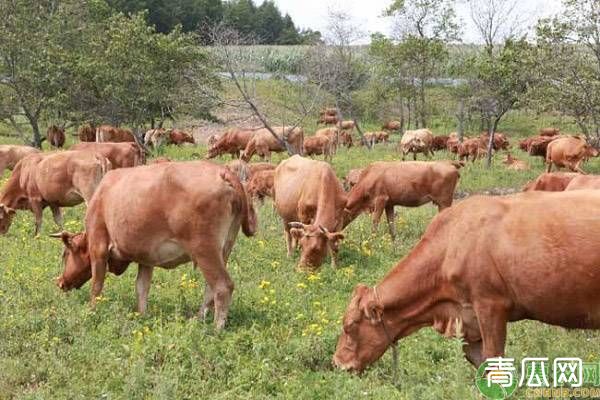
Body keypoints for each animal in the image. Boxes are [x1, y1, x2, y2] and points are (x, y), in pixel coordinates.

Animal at [51, 161, 255, 330]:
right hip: (223, 250)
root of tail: (222, 171)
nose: (60, 282)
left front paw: (92, 311)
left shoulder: (98, 247)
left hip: (205, 251)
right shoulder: (146, 259)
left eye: (65, 254)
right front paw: (142, 315)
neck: (103, 194)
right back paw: (198, 319)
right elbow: (141, 287)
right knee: (210, 288)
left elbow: (97, 285)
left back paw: (215, 329)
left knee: (222, 286)